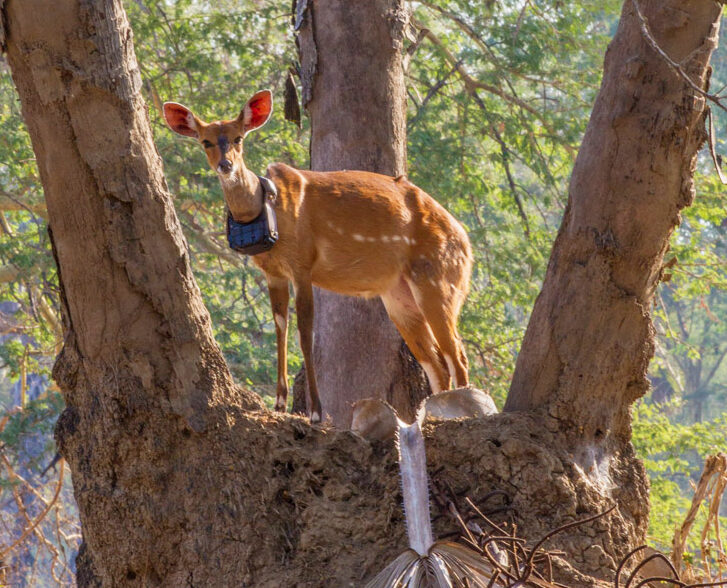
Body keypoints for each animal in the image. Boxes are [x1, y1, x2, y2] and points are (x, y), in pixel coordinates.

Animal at [163, 89, 474, 422]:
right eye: (206, 141)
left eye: (238, 138)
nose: (226, 165)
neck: (267, 212)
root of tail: (466, 245)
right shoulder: (273, 272)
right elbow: (280, 326)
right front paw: (279, 403)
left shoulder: (302, 264)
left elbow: (305, 332)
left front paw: (315, 412)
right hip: (399, 297)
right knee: (436, 362)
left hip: (438, 280)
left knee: (457, 353)